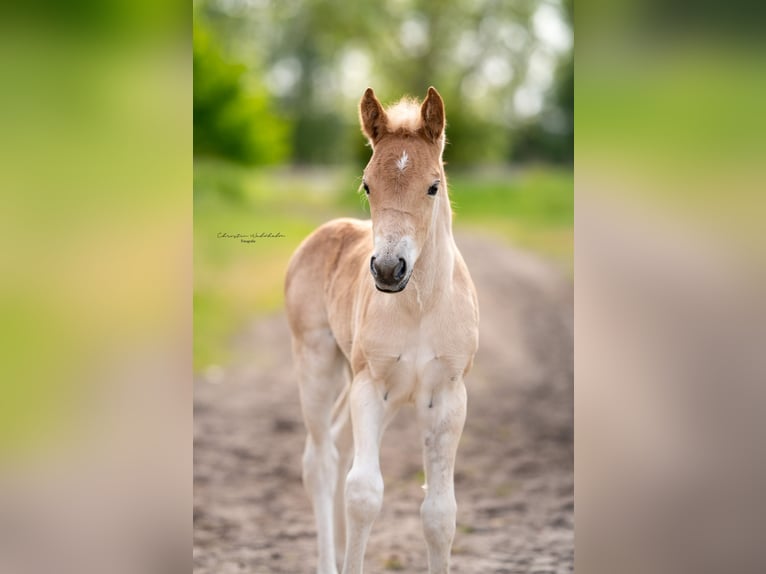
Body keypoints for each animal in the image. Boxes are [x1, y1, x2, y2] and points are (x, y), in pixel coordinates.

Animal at [284, 86, 480, 574]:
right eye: (367, 184)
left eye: (433, 186)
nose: (389, 269)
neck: (419, 306)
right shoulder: (371, 386)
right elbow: (364, 494)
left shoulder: (447, 397)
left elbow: (440, 513)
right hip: (318, 364)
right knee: (321, 459)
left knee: (338, 447)